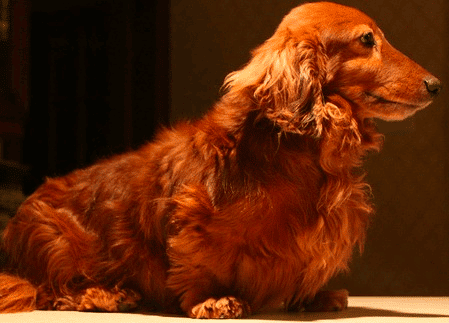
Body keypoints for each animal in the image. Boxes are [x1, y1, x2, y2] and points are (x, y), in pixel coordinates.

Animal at [0, 1, 440, 320]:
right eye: (366, 40)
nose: (436, 84)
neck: (301, 149)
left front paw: (316, 296)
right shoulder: (194, 221)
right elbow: (198, 263)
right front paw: (212, 300)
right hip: (53, 238)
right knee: (49, 290)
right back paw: (104, 294)